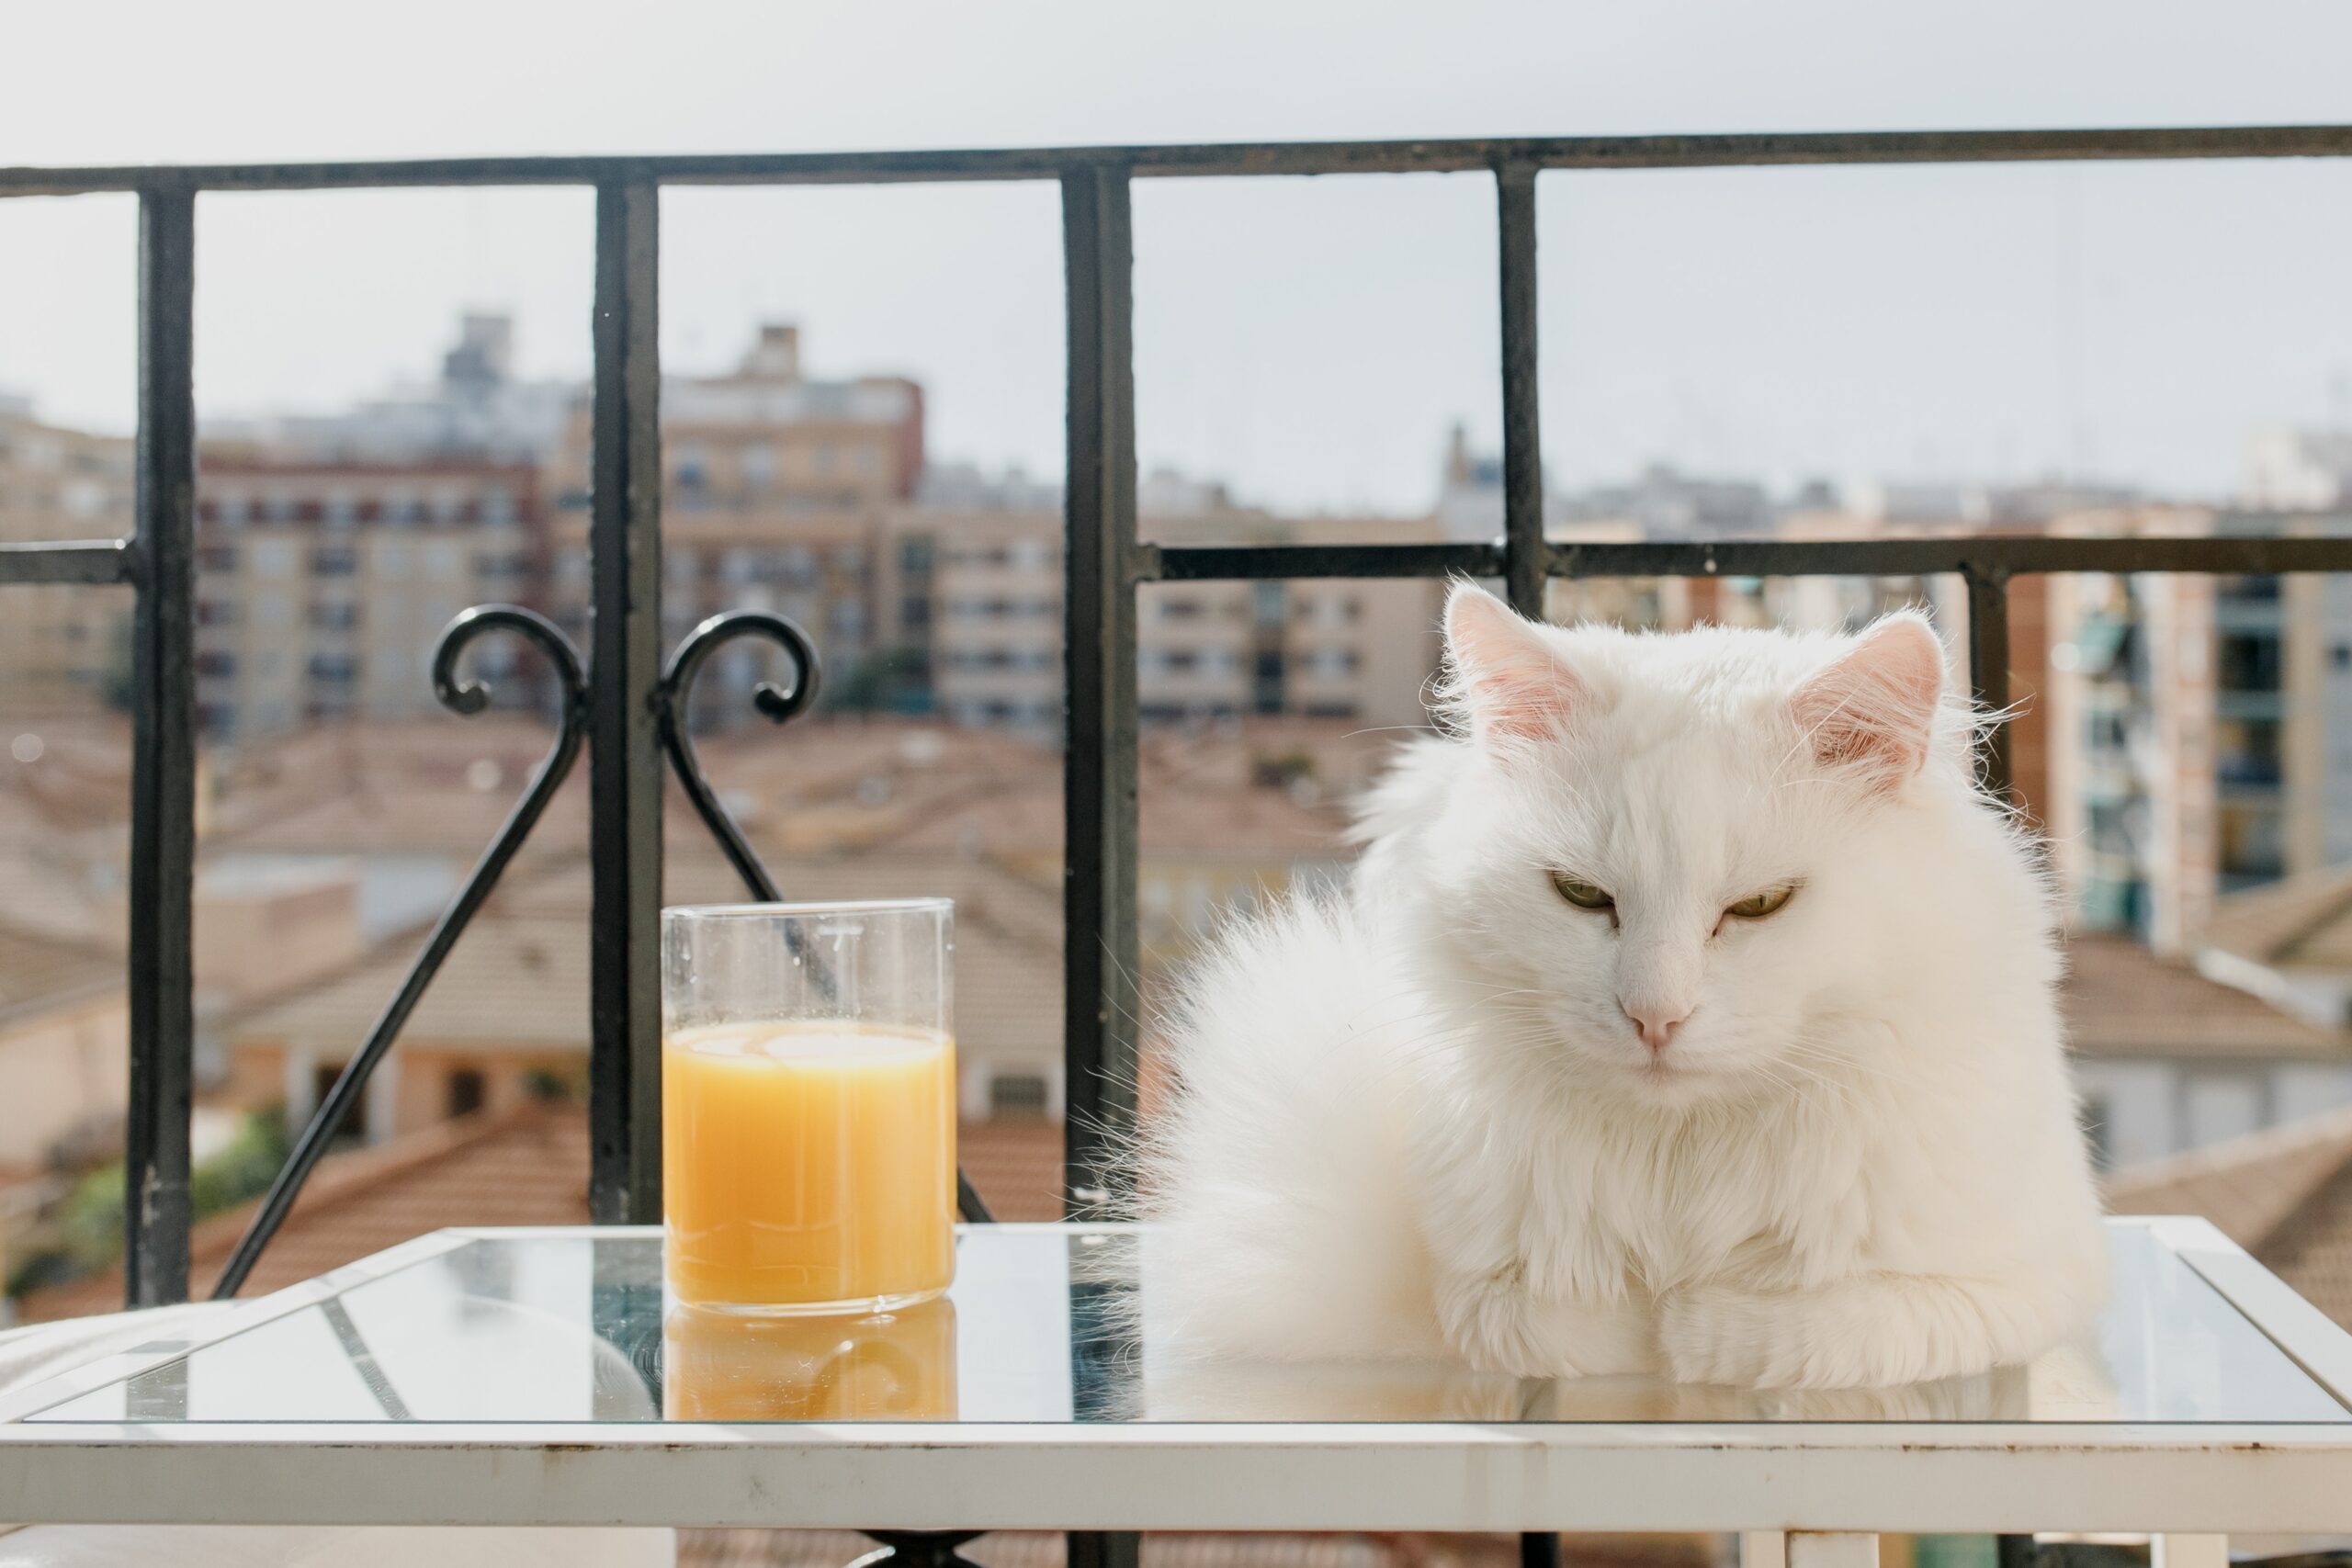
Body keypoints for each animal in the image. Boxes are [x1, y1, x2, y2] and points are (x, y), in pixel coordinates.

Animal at [1128, 582, 2107, 1392]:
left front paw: (1699, 1332)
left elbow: (1819, 1330)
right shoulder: (1482, 1284)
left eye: (1758, 905)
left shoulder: (2022, 1282)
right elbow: (1550, 1325)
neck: (1681, 1171)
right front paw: (1646, 1331)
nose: (1654, 1016)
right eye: (1582, 895)